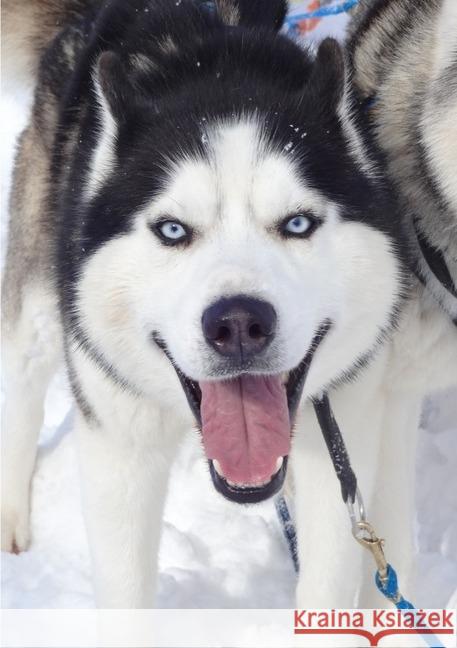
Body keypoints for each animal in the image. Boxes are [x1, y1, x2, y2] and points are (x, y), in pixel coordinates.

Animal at [1, 0, 454, 608]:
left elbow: (329, 581)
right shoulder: (119, 448)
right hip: (41, 304)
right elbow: (126, 600)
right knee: (23, 384)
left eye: (298, 223)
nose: (239, 324)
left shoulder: (342, 432)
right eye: (172, 230)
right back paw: (11, 515)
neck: (218, 79)